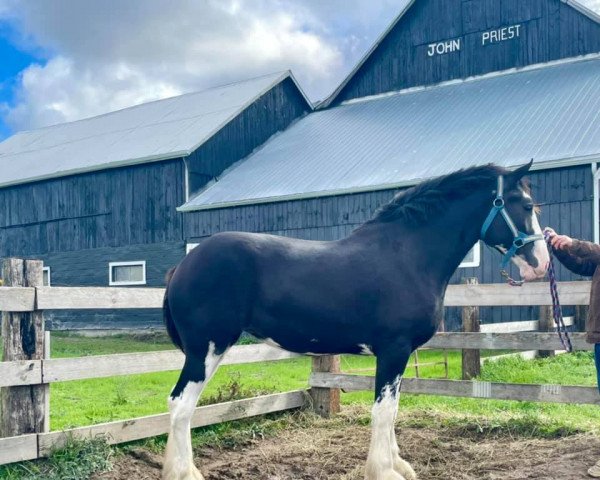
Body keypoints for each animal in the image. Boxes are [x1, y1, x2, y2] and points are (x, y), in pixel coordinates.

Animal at [158, 162, 548, 480]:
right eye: (527, 205)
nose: (542, 264)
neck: (408, 256)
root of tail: (183, 266)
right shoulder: (393, 350)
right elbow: (383, 412)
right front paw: (385, 471)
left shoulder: (398, 356)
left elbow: (393, 409)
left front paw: (400, 465)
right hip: (207, 349)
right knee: (181, 406)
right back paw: (185, 473)